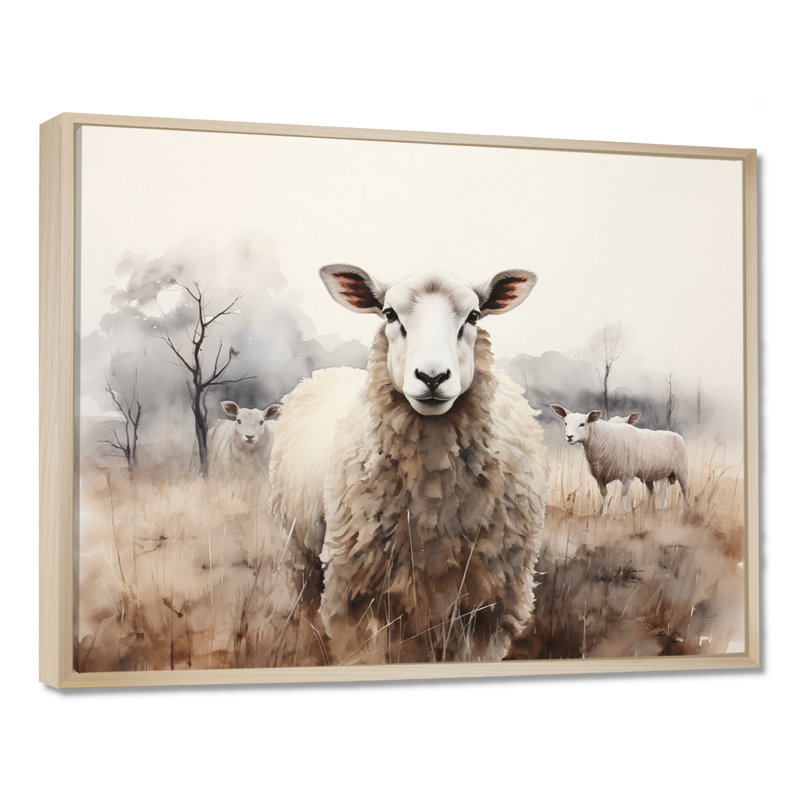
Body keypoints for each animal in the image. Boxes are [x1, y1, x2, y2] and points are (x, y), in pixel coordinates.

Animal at [269, 264, 548, 665]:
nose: (432, 377)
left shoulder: (493, 604)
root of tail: (321, 373)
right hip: (297, 551)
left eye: (473, 315)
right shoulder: (350, 590)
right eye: (389, 314)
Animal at [549, 404, 689, 514]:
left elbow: (623, 494)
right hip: (655, 474)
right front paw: (605, 514)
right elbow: (605, 495)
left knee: (683, 490)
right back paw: (650, 512)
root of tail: (675, 434)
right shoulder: (599, 477)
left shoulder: (627, 475)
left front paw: (624, 514)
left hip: (681, 470)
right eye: (566, 423)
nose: (569, 437)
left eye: (582, 424)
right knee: (653, 492)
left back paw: (686, 511)